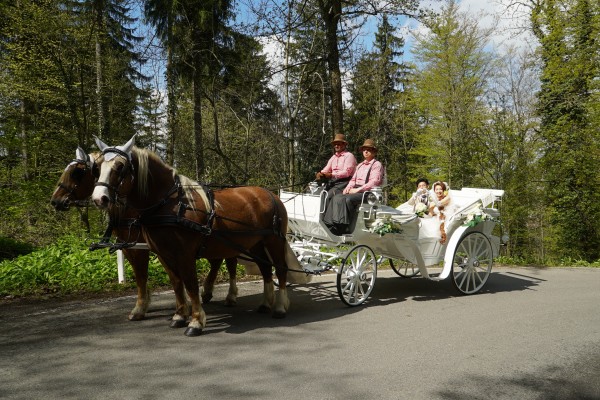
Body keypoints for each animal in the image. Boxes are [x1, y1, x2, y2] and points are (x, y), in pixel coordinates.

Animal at [51, 147, 239, 322]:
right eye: (97, 170)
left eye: (77, 173)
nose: (55, 201)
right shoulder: (128, 246)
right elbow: (140, 275)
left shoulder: (142, 247)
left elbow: (142, 275)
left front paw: (141, 307)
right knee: (218, 261)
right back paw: (207, 291)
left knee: (230, 263)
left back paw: (230, 295)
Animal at [91, 136, 290, 336]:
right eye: (98, 167)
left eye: (120, 166)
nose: (99, 199)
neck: (170, 205)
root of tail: (271, 194)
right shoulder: (163, 253)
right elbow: (177, 283)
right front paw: (179, 316)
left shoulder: (184, 254)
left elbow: (191, 284)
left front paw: (196, 321)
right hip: (255, 243)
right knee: (265, 269)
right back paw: (265, 304)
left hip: (274, 241)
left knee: (280, 270)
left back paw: (280, 307)